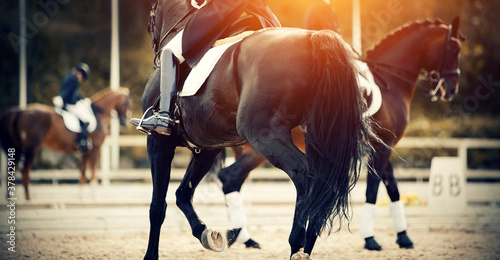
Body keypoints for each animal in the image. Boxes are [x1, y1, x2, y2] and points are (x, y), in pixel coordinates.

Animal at [0, 87, 131, 199]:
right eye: (128, 103)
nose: (125, 121)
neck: (98, 114)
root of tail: (20, 111)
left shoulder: (85, 150)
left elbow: (83, 172)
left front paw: (80, 195)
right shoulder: (95, 149)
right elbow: (93, 171)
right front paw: (95, 196)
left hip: (17, 148)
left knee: (10, 171)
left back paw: (10, 197)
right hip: (32, 148)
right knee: (24, 171)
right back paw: (28, 198)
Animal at [137, 0, 376, 258]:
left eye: (151, 16)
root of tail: (313, 37)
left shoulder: (158, 142)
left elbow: (157, 207)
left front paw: (150, 255)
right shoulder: (208, 147)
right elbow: (183, 194)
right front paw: (206, 234)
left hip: (265, 135)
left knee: (304, 174)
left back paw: (296, 244)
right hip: (317, 138)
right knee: (322, 182)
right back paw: (306, 246)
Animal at [219, 16, 464, 250]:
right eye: (454, 49)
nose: (452, 89)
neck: (391, 82)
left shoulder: (384, 146)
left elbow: (392, 187)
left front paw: (403, 237)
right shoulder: (382, 147)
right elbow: (374, 190)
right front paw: (370, 239)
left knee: (233, 180)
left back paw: (242, 237)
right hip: (264, 145)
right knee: (231, 176)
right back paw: (239, 236)